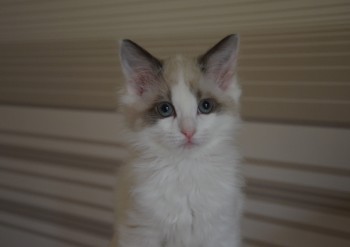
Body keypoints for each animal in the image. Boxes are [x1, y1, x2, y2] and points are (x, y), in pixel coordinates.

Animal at [113, 34, 245, 247]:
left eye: (205, 106)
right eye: (165, 109)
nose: (188, 131)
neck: (185, 169)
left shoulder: (222, 231)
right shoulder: (140, 231)